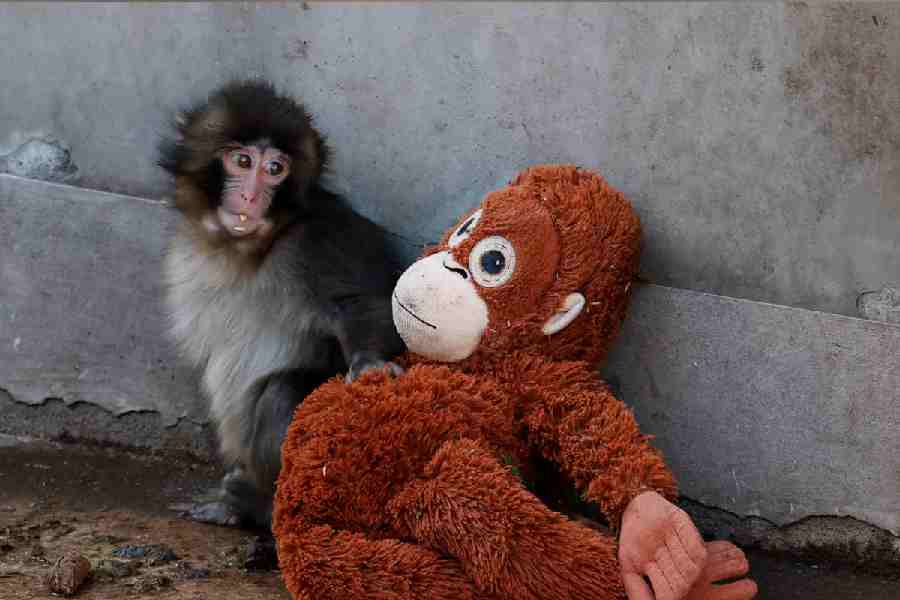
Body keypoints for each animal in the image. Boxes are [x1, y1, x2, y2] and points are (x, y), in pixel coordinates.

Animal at [157, 80, 406, 531]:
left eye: (276, 169)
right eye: (242, 161)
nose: (251, 195)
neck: (247, 250)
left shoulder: (318, 241)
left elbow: (372, 305)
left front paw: (369, 363)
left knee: (282, 393)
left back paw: (260, 507)